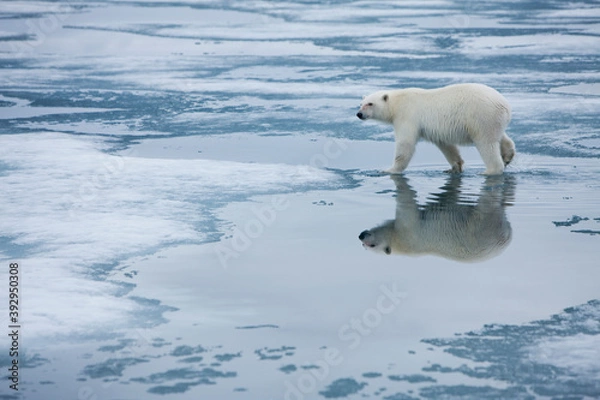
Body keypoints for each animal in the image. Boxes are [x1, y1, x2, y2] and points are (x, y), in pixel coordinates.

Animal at [356, 83, 516, 175]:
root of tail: (505, 105)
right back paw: (508, 156)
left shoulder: (407, 115)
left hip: (481, 116)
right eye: (361, 103)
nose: (359, 114)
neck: (397, 102)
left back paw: (489, 171)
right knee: (501, 137)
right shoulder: (435, 130)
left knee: (486, 144)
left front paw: (388, 170)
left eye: (370, 103)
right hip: (493, 120)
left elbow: (405, 144)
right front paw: (454, 167)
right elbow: (446, 145)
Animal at [358, 175, 512, 262]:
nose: (361, 235)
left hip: (481, 226)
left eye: (372, 245)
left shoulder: (409, 232)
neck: (398, 243)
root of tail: (507, 236)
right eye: (364, 247)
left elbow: (407, 202)